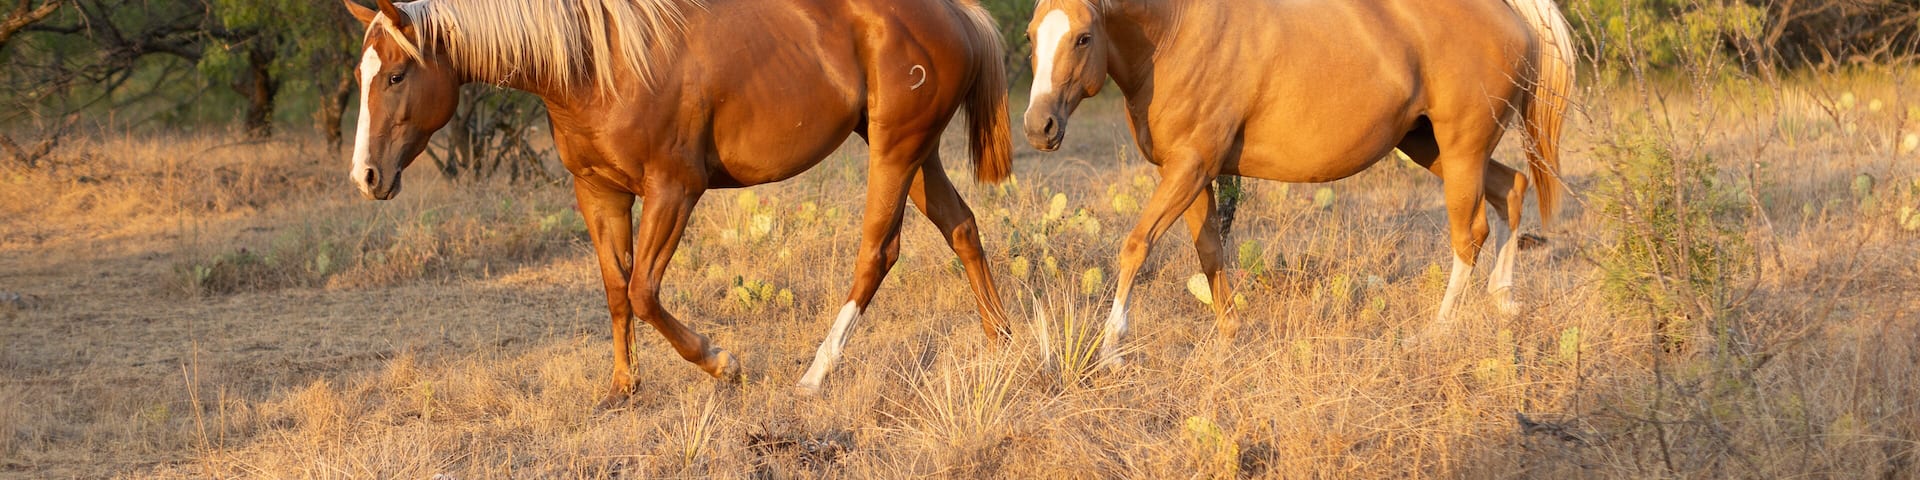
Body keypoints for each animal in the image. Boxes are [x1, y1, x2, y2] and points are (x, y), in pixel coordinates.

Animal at [341, 0, 1016, 400]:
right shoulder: (599, 193)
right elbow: (617, 290)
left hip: (896, 153)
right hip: (911, 152)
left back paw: (813, 376)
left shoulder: (673, 190)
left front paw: (723, 363)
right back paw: (1003, 344)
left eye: (396, 75)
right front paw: (622, 387)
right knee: (962, 227)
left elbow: (643, 291)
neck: (599, 64)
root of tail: (957, 15)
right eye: (359, 76)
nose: (365, 177)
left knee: (877, 252)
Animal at [1020, 0, 1575, 365]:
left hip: (1460, 151)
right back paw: (1503, 299)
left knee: (1469, 234)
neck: (1177, 37)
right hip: (1431, 146)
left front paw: (1111, 348)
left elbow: (1136, 246)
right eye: (1030, 36)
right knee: (1512, 189)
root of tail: (1510, 13)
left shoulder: (1189, 167)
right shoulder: (1188, 173)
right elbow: (1210, 251)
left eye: (1083, 36)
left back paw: (1434, 333)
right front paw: (1229, 335)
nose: (1038, 126)